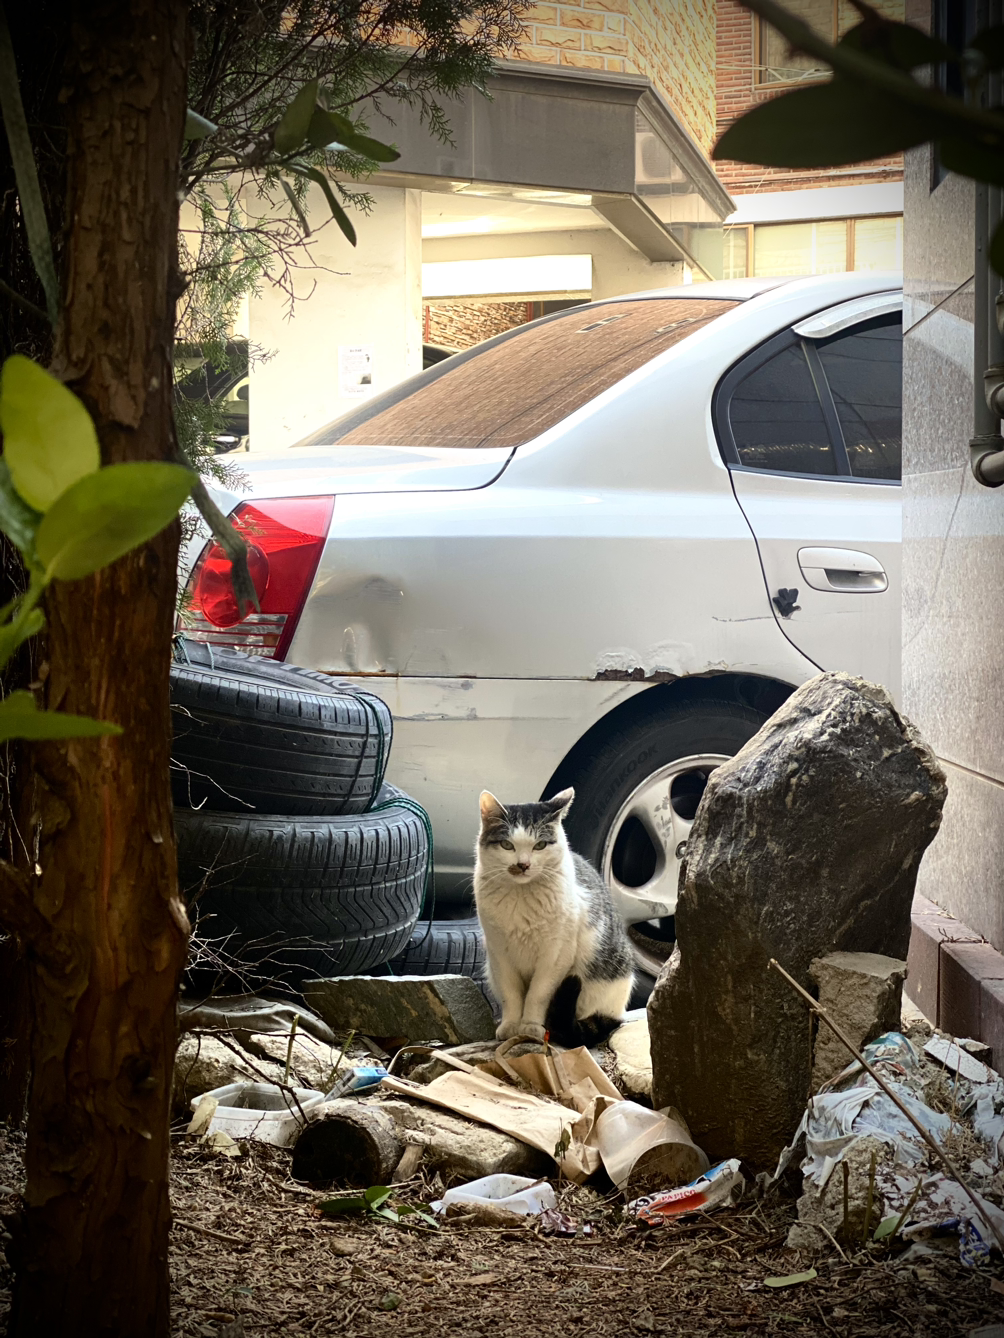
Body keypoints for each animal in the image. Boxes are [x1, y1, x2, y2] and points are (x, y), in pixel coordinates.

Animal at [473, 787, 635, 1048]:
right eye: (507, 845)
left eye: (540, 845)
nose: (523, 865)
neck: (521, 897)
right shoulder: (499, 955)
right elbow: (511, 995)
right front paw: (511, 1025)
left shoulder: (555, 955)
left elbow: (537, 994)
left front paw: (530, 1026)